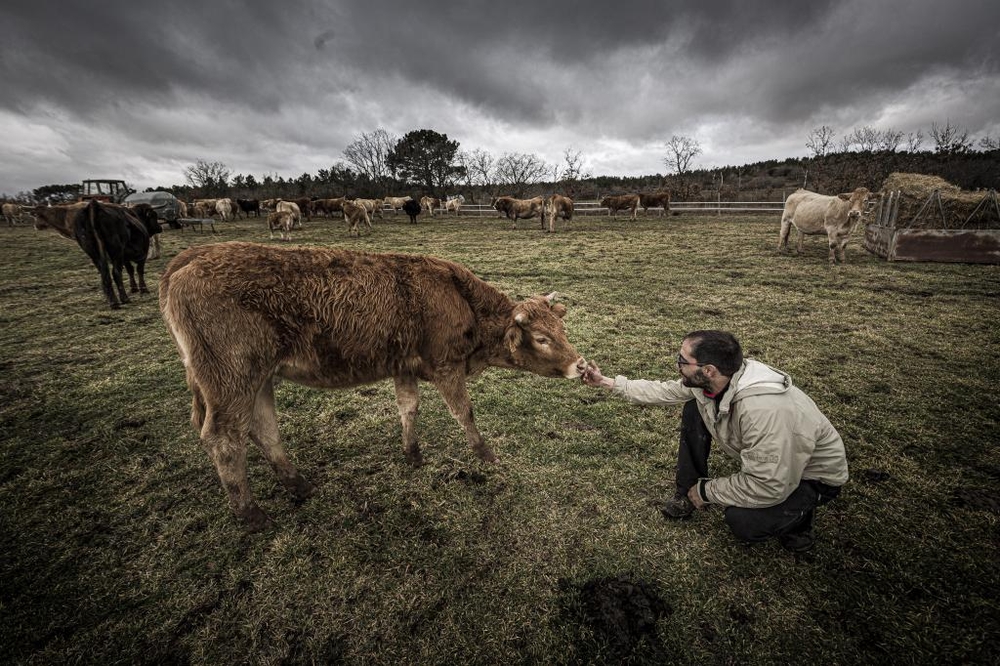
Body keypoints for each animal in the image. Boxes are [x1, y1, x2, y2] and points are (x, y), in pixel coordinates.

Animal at [160, 241, 588, 528]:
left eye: (562, 329)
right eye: (543, 338)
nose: (581, 365)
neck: (458, 297)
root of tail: (190, 258)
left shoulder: (404, 365)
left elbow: (408, 407)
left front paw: (412, 454)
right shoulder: (446, 366)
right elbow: (463, 411)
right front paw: (486, 455)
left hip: (259, 378)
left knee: (262, 428)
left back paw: (297, 483)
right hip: (232, 378)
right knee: (224, 437)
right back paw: (250, 514)